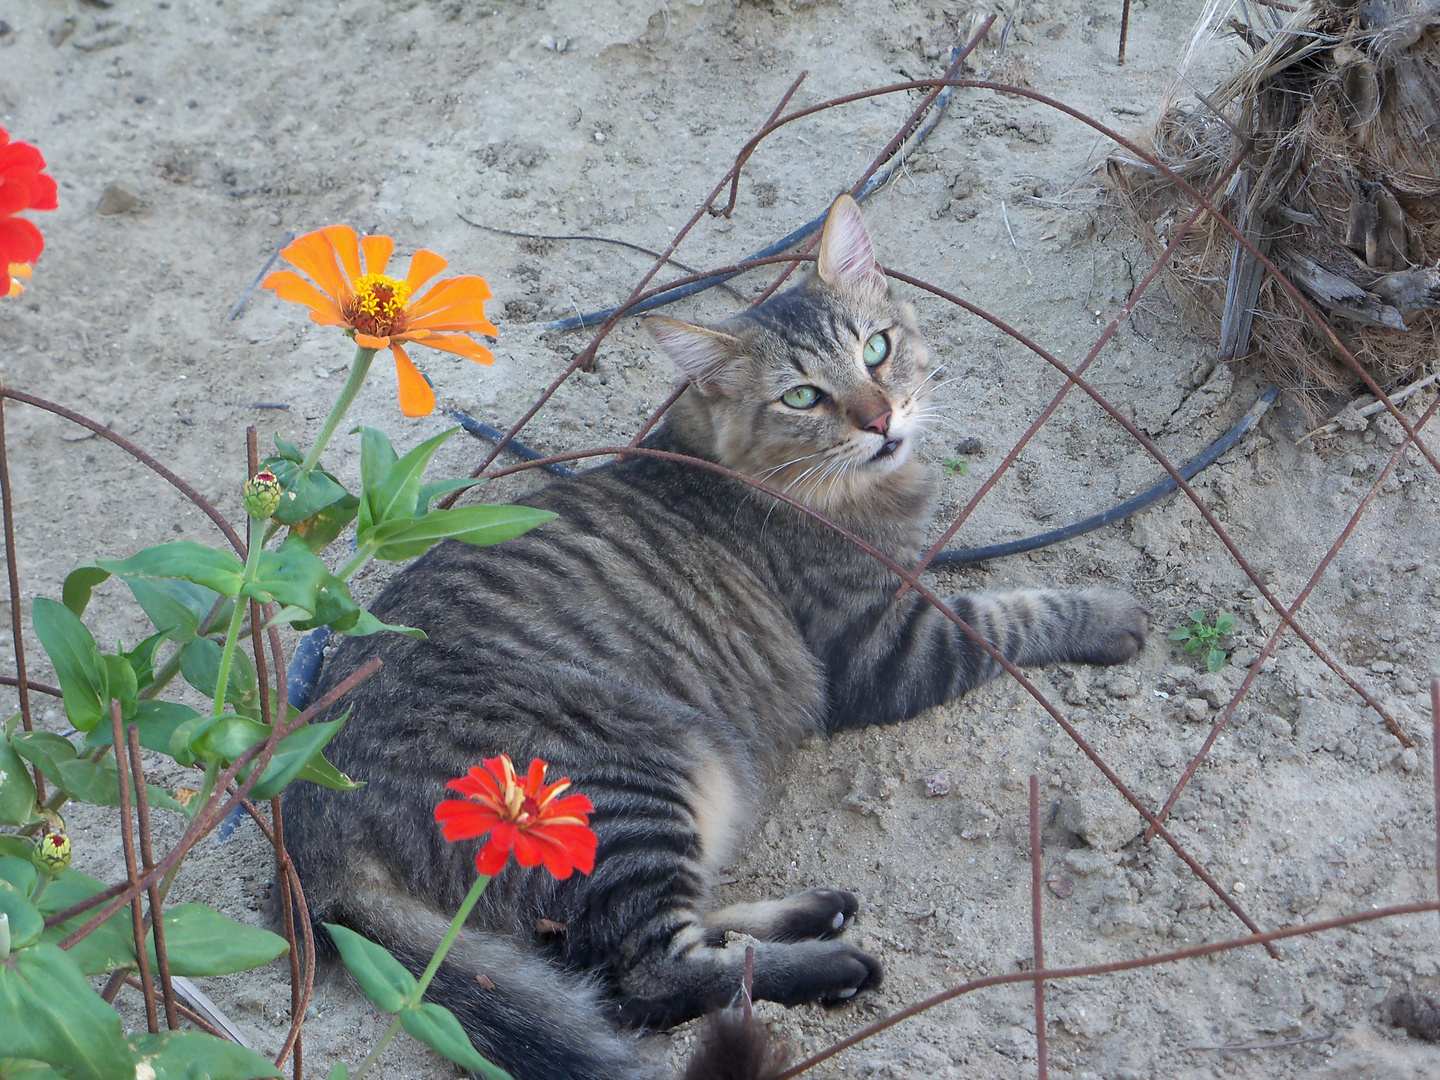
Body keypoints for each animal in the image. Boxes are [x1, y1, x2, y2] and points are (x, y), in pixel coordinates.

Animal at [280, 197, 1146, 1080]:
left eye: (877, 349)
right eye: (802, 397)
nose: (881, 420)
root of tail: (314, 823)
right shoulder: (885, 646)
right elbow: (1013, 615)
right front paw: (1112, 617)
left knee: (676, 941)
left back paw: (815, 911)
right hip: (634, 789)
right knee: (649, 978)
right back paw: (832, 964)